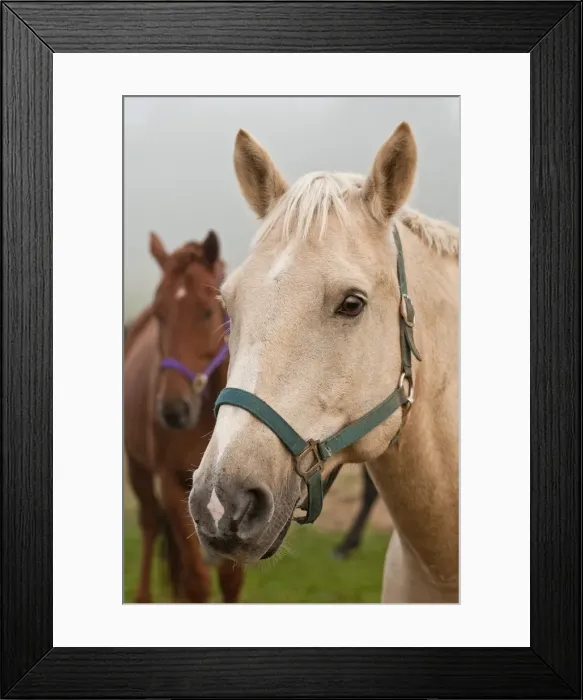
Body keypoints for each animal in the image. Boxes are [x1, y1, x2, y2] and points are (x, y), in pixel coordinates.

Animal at [124, 229, 244, 603]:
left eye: (207, 312)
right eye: (160, 314)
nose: (173, 411)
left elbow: (230, 580)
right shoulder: (170, 481)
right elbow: (196, 582)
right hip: (138, 468)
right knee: (150, 525)